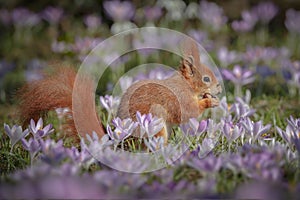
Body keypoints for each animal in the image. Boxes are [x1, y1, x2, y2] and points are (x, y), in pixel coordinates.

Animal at [18, 38, 220, 142]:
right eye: (206, 78)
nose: (218, 87)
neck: (186, 85)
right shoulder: (179, 96)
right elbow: (187, 112)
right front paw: (209, 101)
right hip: (154, 126)